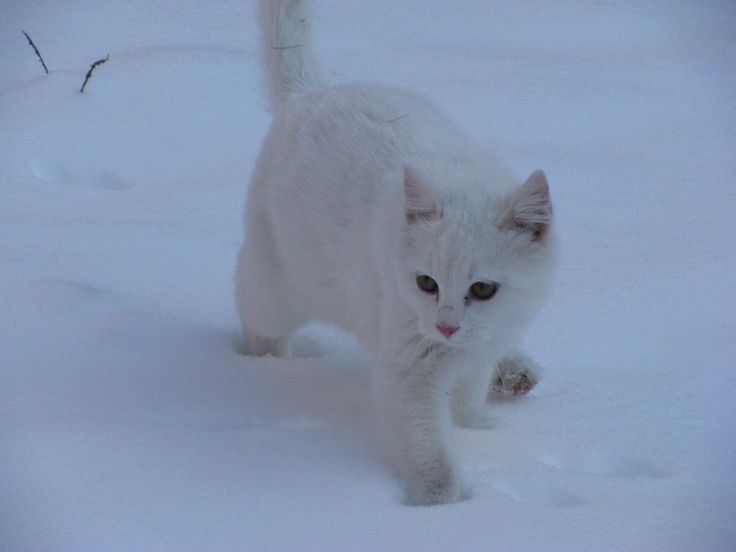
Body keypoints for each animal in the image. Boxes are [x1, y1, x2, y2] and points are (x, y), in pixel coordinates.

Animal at [236, 0, 556, 506]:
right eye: (426, 283)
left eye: (483, 289)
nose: (446, 326)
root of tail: (311, 92)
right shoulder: (409, 365)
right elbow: (427, 442)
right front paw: (437, 502)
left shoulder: (484, 345)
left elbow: (467, 396)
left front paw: (475, 428)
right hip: (277, 284)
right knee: (256, 317)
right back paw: (269, 365)